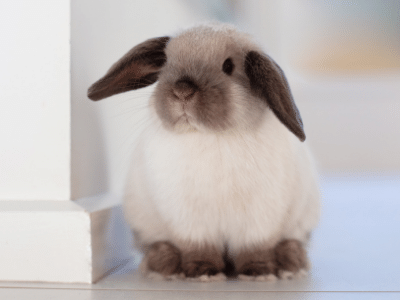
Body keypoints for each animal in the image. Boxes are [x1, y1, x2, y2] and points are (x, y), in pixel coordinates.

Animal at [89, 23, 320, 282]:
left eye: (228, 66)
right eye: (166, 63)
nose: (182, 90)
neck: (209, 135)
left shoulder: (259, 217)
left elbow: (255, 247)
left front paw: (259, 272)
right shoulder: (190, 220)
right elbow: (199, 247)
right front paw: (203, 272)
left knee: (292, 242)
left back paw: (293, 263)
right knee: (155, 245)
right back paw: (163, 265)